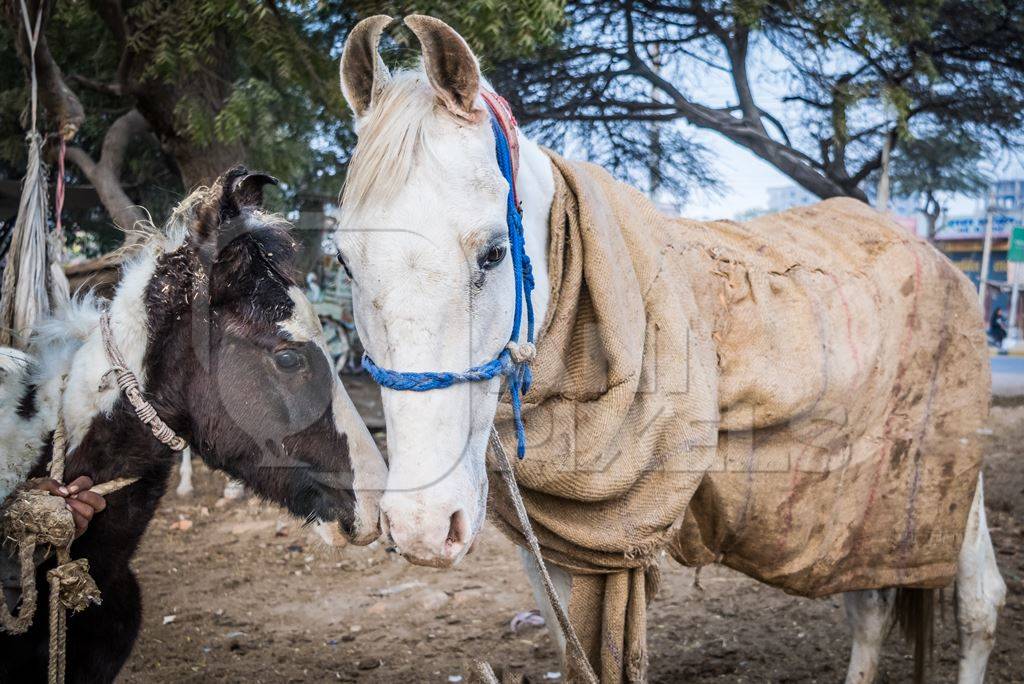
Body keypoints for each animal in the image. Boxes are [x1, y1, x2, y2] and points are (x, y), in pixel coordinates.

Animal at [331, 14, 1003, 679]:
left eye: (495, 252)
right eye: (343, 260)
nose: (419, 526)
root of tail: (932, 253)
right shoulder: (556, 552)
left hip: (942, 478)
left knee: (978, 605)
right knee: (869, 610)